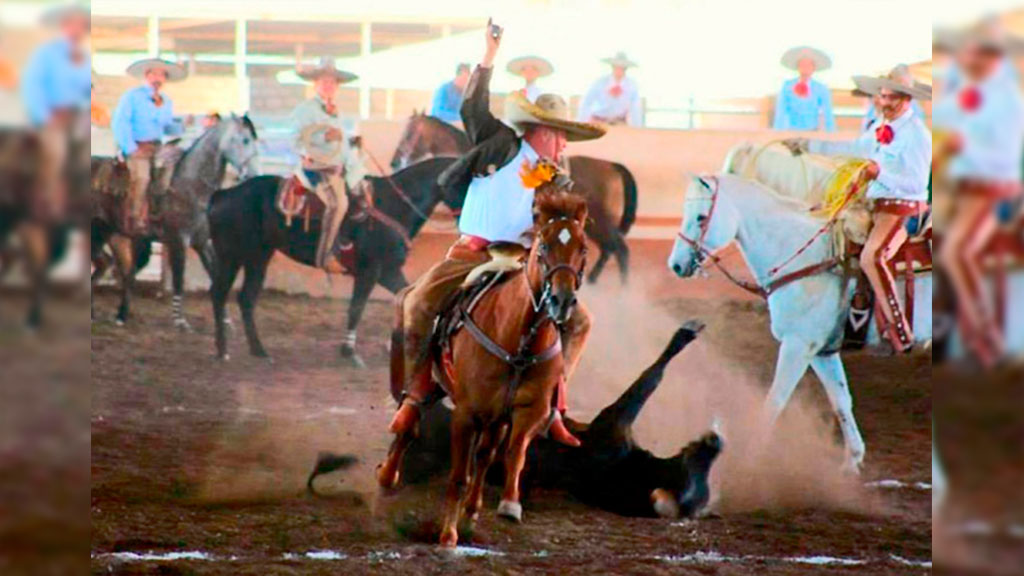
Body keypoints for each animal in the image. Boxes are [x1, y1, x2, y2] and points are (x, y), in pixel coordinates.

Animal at [91, 113, 260, 327]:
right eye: (245, 140)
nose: (253, 174)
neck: (189, 185)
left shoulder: (202, 242)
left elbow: (216, 278)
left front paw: (225, 319)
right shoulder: (178, 240)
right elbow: (179, 279)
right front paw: (180, 320)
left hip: (109, 233)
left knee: (115, 267)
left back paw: (117, 315)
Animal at [207, 155, 460, 362]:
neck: (395, 206)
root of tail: (223, 194)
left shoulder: (388, 271)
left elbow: (407, 296)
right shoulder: (371, 270)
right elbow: (356, 307)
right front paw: (349, 351)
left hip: (258, 257)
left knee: (245, 298)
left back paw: (257, 350)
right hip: (233, 256)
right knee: (220, 294)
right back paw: (224, 350)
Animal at [307, 319, 724, 518]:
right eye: (695, 468)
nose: (714, 442)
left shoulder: (613, 425)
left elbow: (648, 379)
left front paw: (686, 333)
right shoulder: (614, 425)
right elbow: (648, 379)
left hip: (429, 429)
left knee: (409, 404)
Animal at [389, 108, 634, 282]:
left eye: (408, 133)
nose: (395, 162)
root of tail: (613, 167)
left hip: (603, 222)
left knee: (620, 250)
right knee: (610, 249)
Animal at [667, 175, 933, 471]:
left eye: (701, 217)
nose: (675, 265)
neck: (805, 259)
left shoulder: (797, 346)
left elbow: (775, 400)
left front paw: (750, 460)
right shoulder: (821, 351)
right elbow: (841, 400)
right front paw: (852, 461)